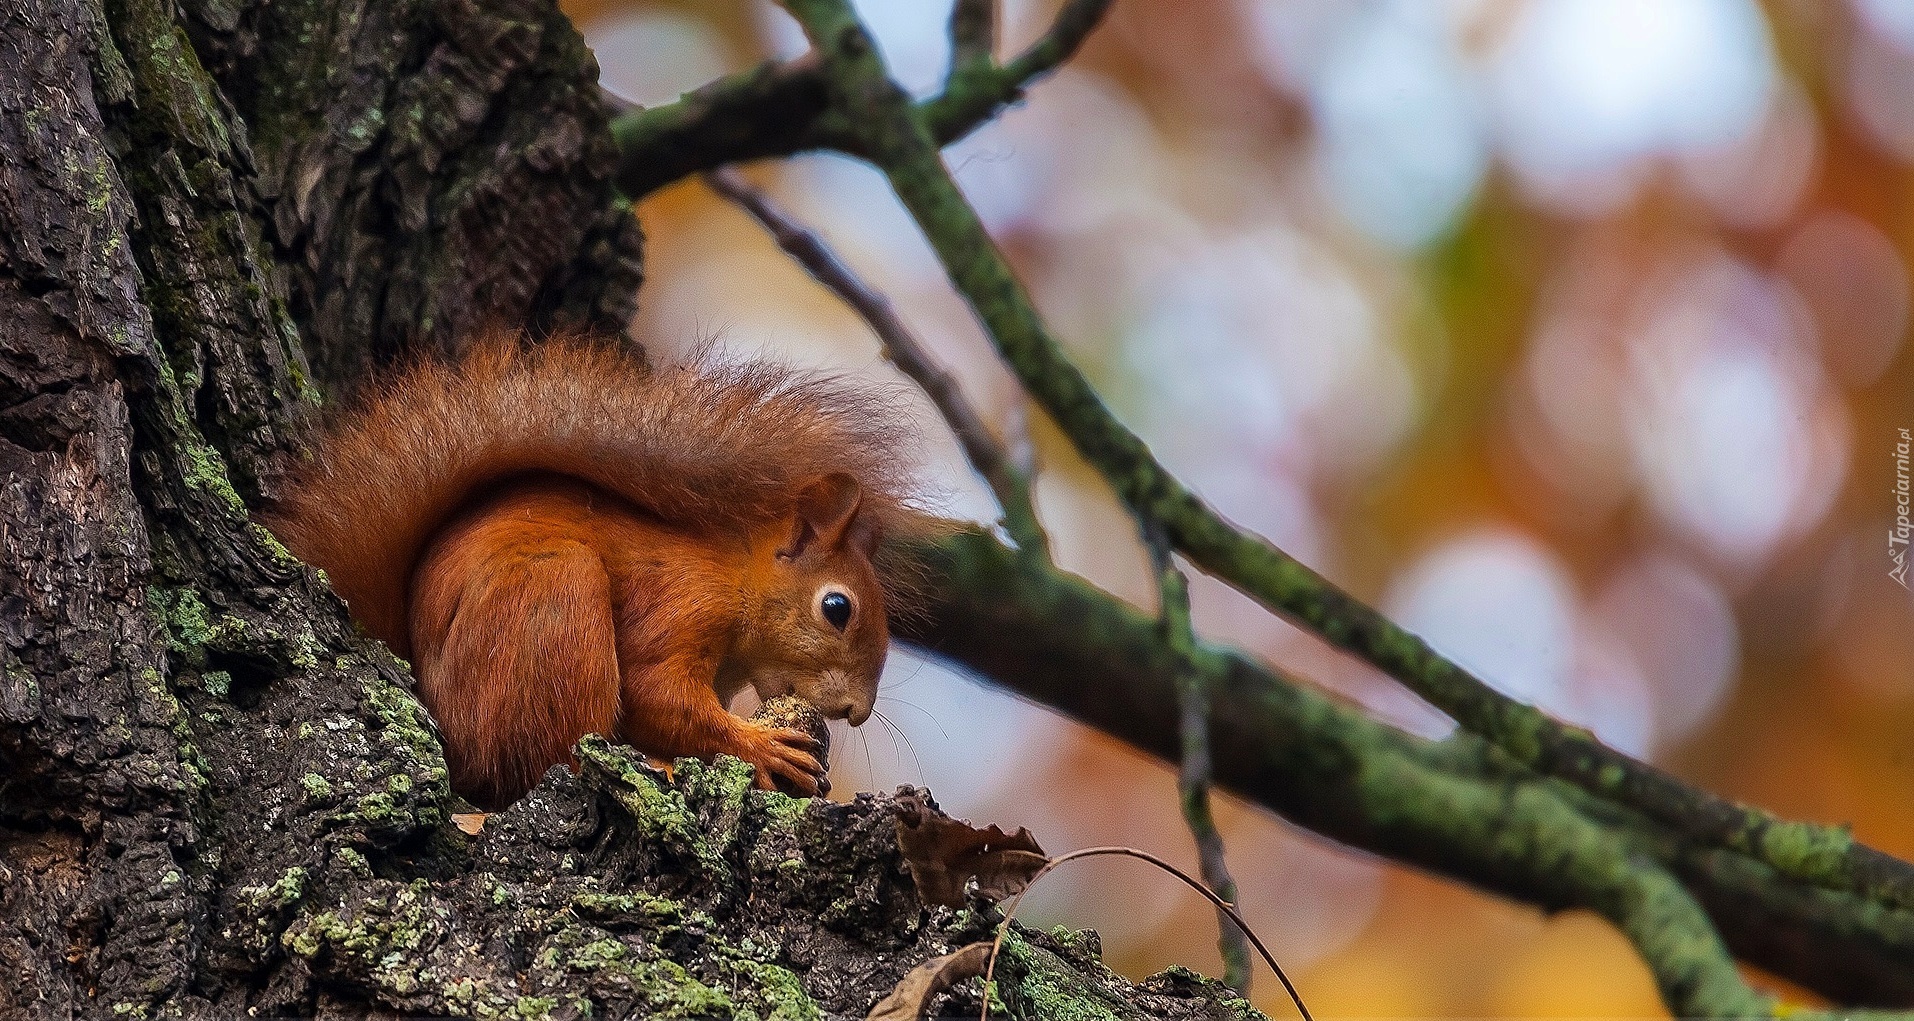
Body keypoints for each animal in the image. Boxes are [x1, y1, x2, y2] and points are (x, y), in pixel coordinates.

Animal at [267, 329, 926, 808]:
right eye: (836, 607)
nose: (857, 712)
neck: (735, 576)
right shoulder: (685, 603)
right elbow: (655, 696)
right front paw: (761, 747)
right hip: (556, 602)